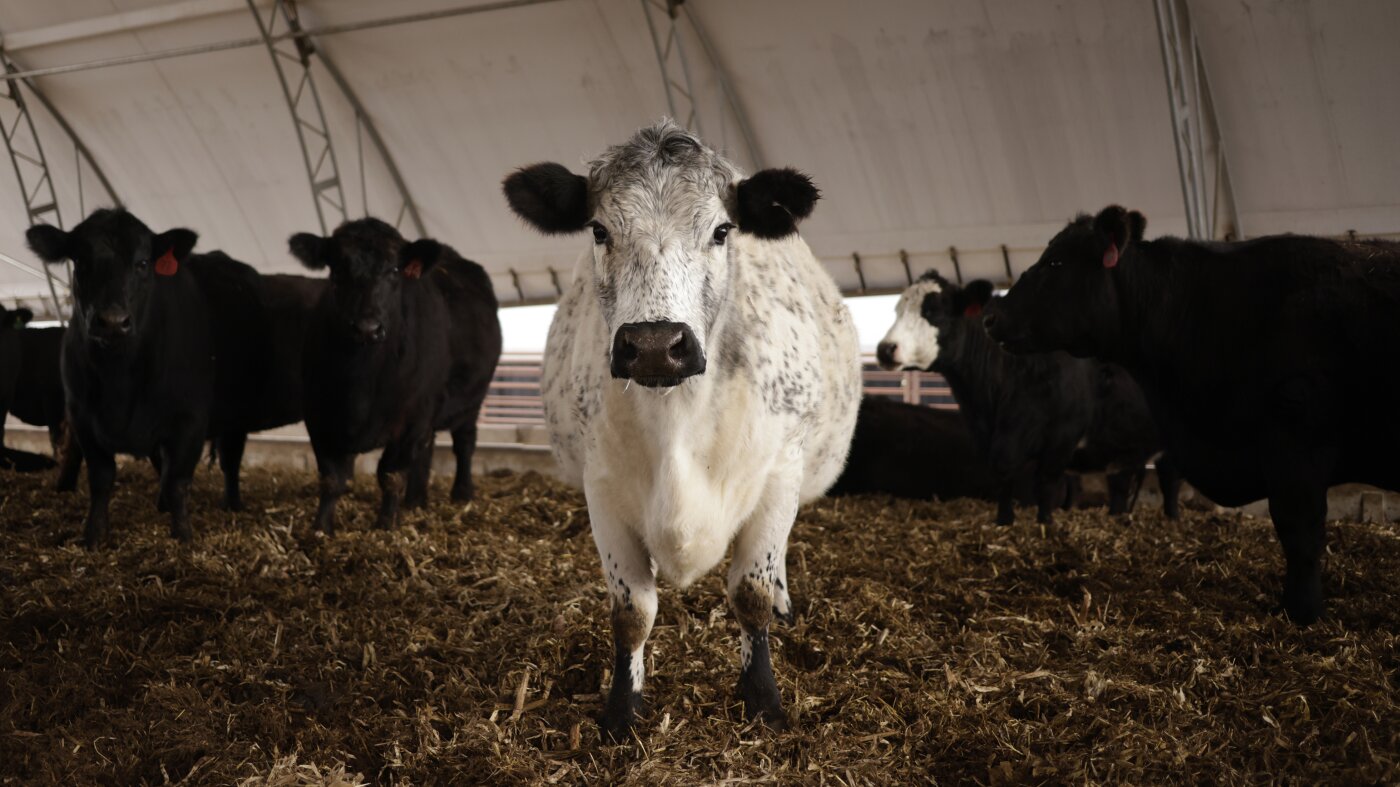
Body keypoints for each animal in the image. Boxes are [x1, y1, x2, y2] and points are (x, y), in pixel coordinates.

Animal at [288, 218, 502, 534]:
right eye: (337, 269)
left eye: (394, 270)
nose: (367, 327)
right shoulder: (319, 416)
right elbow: (331, 478)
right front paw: (321, 528)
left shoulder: (411, 419)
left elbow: (390, 475)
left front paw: (386, 525)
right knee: (427, 449)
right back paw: (416, 500)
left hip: (471, 400)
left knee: (464, 443)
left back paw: (462, 493)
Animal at [503, 120, 861, 737]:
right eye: (599, 229)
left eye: (721, 230)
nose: (653, 345)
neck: (676, 421)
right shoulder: (602, 489)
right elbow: (632, 613)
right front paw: (622, 710)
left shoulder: (779, 476)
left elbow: (751, 594)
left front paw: (763, 700)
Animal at [877, 272, 1094, 526]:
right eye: (898, 310)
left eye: (934, 311)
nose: (885, 349)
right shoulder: (987, 434)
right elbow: (1002, 473)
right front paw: (1004, 520)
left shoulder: (1063, 436)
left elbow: (1045, 481)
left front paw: (1045, 521)